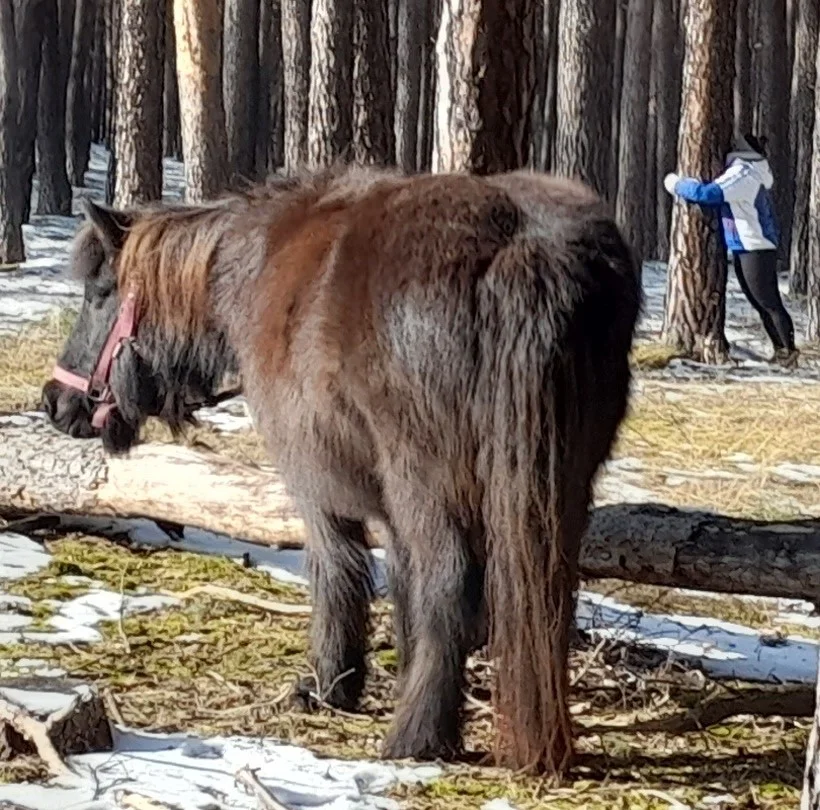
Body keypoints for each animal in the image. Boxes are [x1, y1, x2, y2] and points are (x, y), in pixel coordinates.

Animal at [42, 164, 641, 777]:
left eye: (99, 293)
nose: (55, 402)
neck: (249, 267)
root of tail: (524, 244)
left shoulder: (317, 488)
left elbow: (339, 575)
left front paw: (330, 685)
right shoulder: (393, 511)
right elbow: (403, 585)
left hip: (430, 485)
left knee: (452, 585)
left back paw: (417, 734)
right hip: (557, 487)